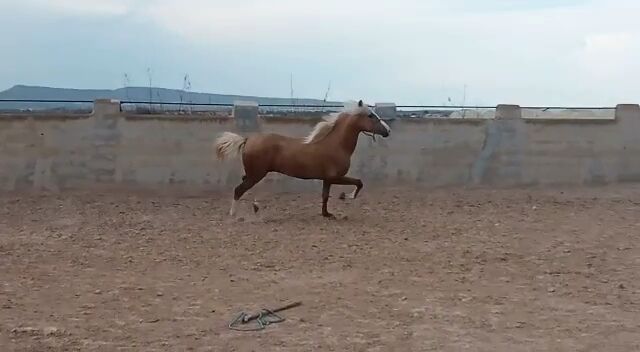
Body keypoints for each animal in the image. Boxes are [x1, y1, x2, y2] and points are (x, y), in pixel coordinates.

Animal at [215, 99, 390, 219]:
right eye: (370, 116)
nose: (387, 131)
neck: (336, 144)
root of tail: (247, 139)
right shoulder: (336, 177)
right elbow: (359, 183)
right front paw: (344, 196)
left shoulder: (327, 179)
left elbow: (325, 196)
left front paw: (327, 214)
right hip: (257, 174)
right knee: (239, 190)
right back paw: (234, 214)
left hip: (254, 173)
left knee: (244, 185)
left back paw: (256, 207)